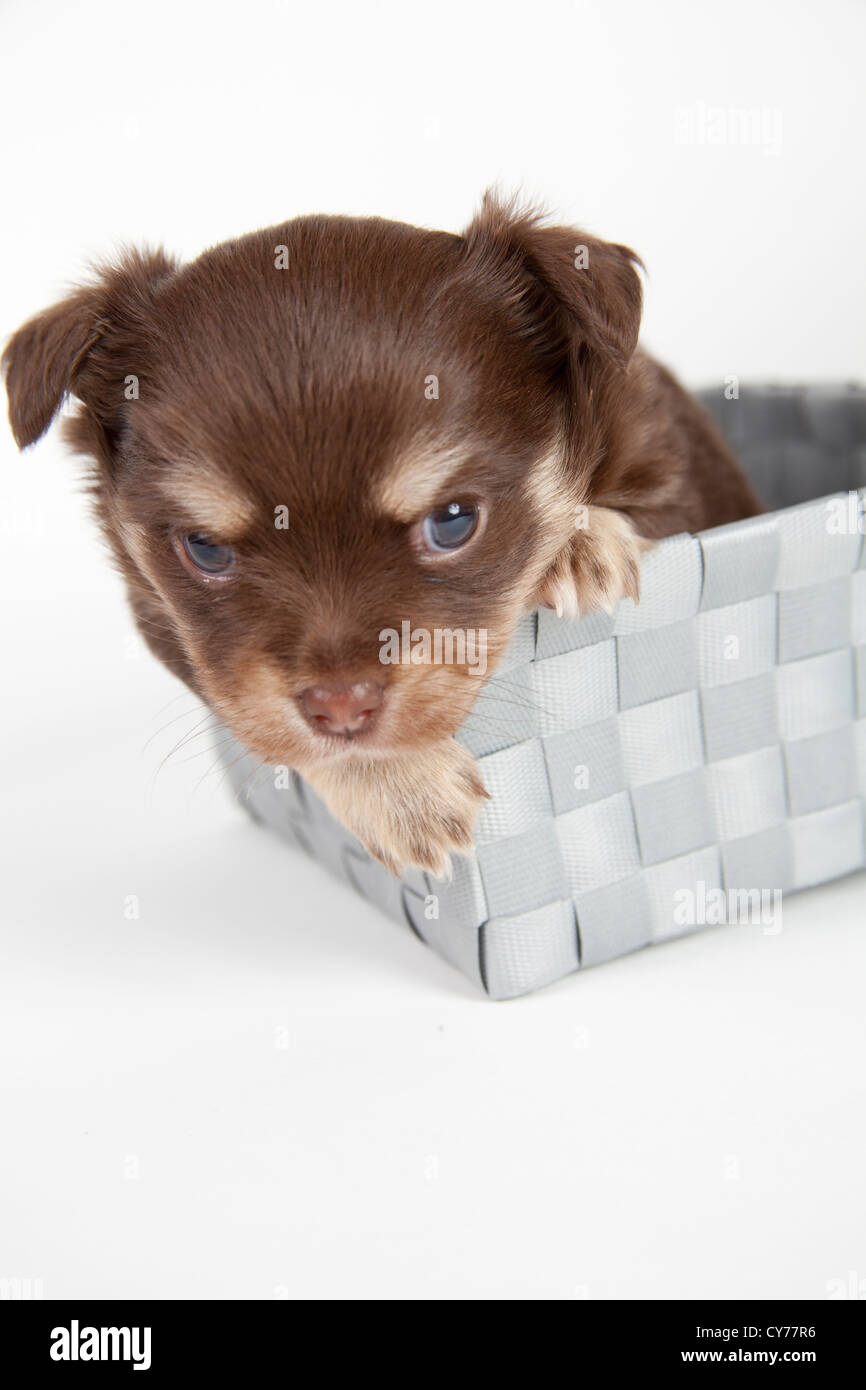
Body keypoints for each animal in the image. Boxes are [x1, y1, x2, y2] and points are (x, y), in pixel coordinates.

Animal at [1, 195, 756, 872]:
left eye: (453, 522)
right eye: (206, 549)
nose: (340, 706)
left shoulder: (689, 476)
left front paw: (579, 542)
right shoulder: (164, 620)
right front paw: (403, 791)